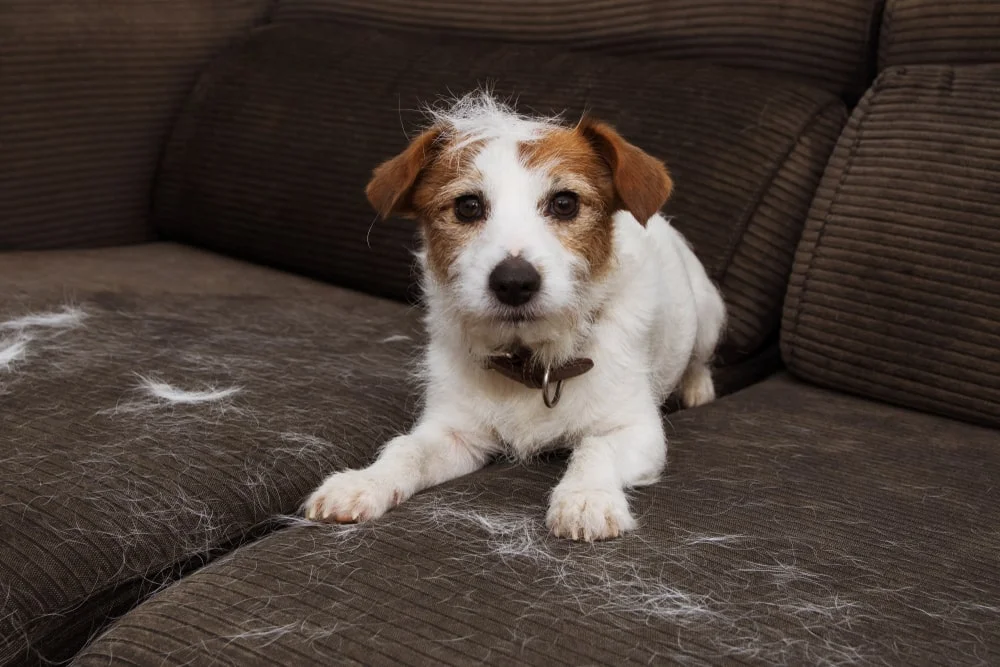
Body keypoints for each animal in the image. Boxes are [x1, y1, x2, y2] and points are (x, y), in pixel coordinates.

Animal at [304, 92, 728, 544]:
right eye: (468, 206)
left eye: (565, 203)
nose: (513, 282)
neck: (531, 360)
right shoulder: (454, 432)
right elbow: (406, 449)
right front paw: (363, 482)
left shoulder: (635, 430)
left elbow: (596, 448)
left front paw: (586, 498)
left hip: (708, 312)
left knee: (700, 357)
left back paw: (697, 388)